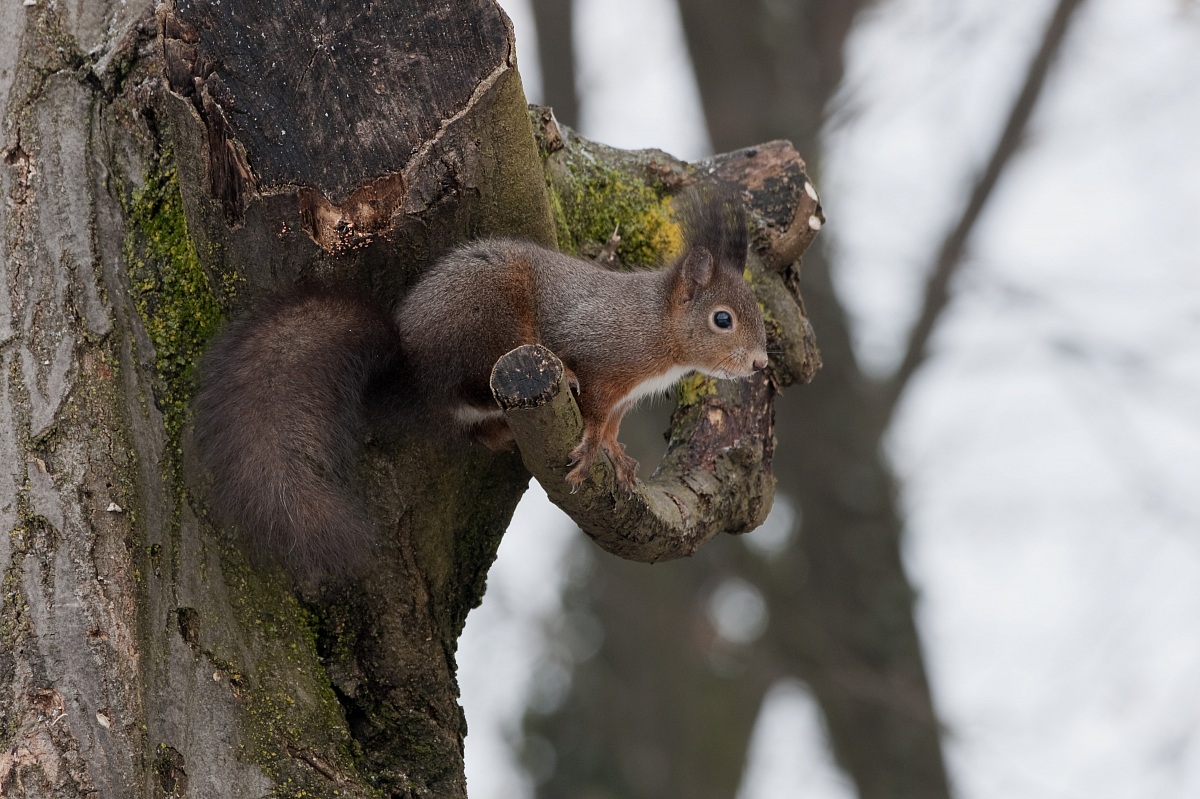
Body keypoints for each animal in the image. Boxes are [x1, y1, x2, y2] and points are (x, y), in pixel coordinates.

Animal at [192, 185, 768, 581]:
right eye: (722, 319)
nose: (761, 364)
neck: (655, 328)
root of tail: (412, 365)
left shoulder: (623, 397)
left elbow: (610, 425)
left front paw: (617, 457)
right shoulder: (600, 351)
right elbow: (593, 413)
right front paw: (590, 447)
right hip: (492, 318)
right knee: (475, 381)